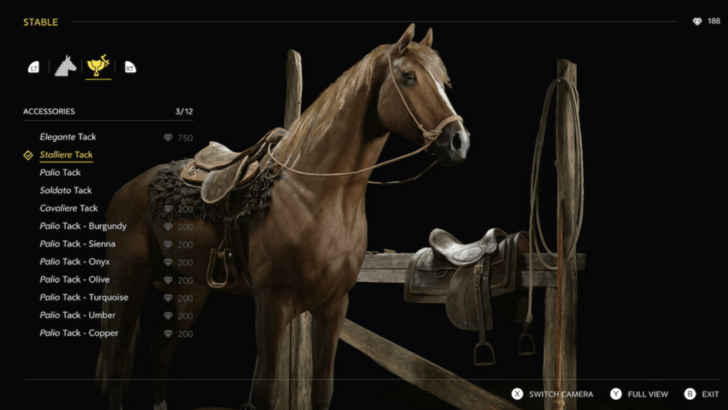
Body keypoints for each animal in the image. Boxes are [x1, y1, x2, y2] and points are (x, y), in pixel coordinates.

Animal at [95, 24, 470, 410]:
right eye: (409, 76)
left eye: (444, 81)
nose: (459, 141)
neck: (314, 195)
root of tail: (127, 189)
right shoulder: (273, 304)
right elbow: (265, 391)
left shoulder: (333, 307)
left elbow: (322, 390)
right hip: (128, 281)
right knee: (117, 365)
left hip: (190, 290)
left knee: (160, 353)